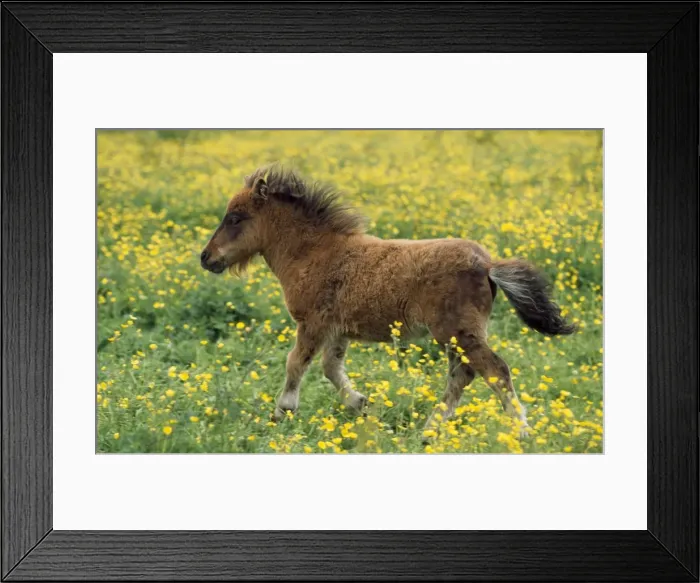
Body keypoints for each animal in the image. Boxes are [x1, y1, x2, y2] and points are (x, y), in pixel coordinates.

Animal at [200, 164, 575, 437]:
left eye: (234, 218)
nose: (206, 258)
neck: (314, 253)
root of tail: (487, 264)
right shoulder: (337, 330)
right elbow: (331, 368)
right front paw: (363, 404)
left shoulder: (312, 323)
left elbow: (296, 364)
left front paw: (282, 413)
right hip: (457, 336)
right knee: (463, 374)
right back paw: (429, 432)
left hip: (457, 332)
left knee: (493, 370)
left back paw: (522, 433)